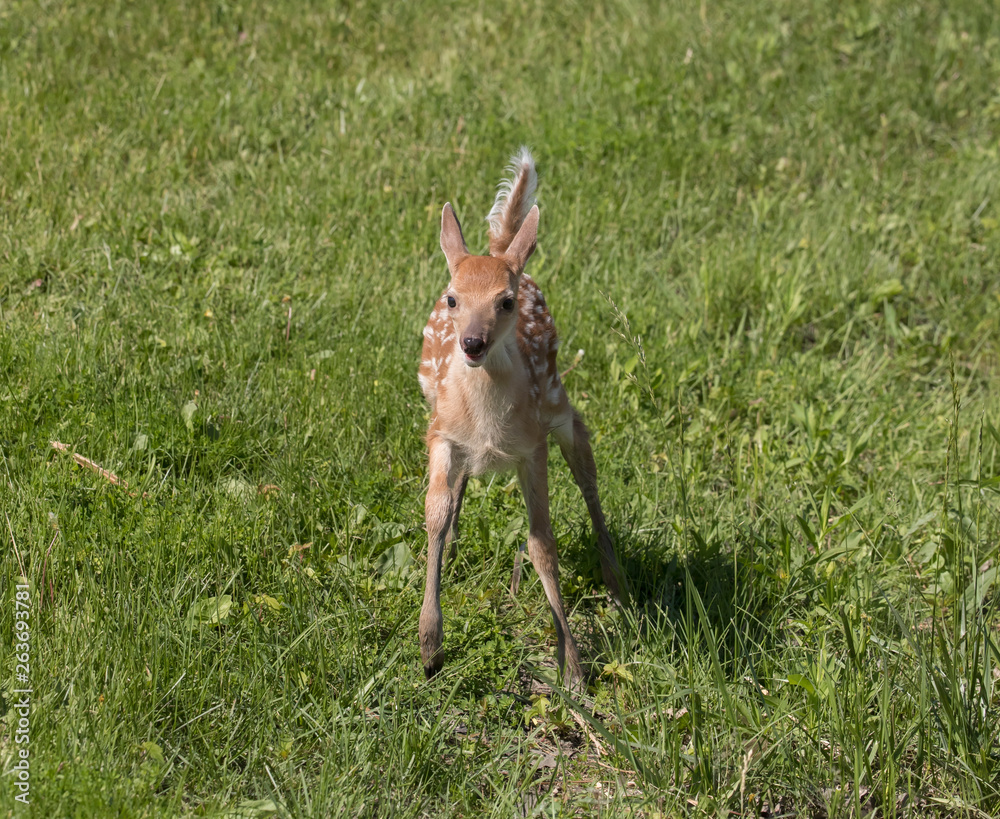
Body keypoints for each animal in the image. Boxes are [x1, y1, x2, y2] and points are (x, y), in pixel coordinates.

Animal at [417, 148, 627, 686]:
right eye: (453, 298)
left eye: (504, 302)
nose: (472, 342)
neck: (488, 422)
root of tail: (505, 248)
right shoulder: (440, 432)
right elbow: (434, 515)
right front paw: (430, 645)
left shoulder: (533, 447)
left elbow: (542, 547)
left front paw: (572, 669)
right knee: (459, 491)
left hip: (558, 404)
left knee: (588, 476)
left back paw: (617, 582)